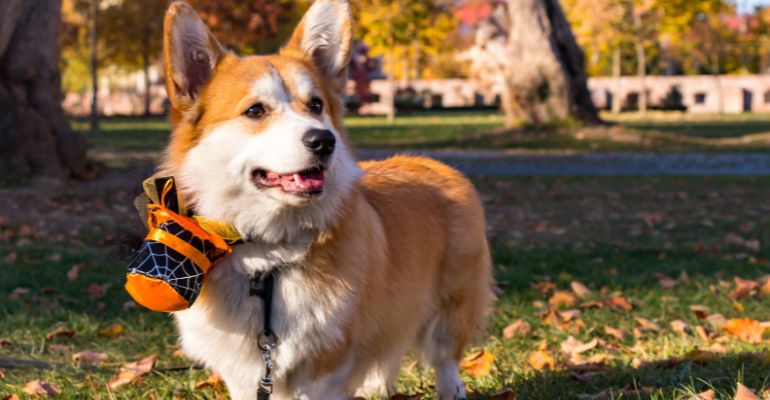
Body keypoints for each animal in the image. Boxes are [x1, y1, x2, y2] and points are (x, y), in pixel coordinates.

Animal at [159, 1, 492, 398]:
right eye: (255, 110)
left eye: (316, 105)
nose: (324, 141)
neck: (267, 256)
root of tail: (436, 164)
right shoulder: (242, 371)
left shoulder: (326, 365)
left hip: (450, 302)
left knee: (444, 356)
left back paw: (450, 388)